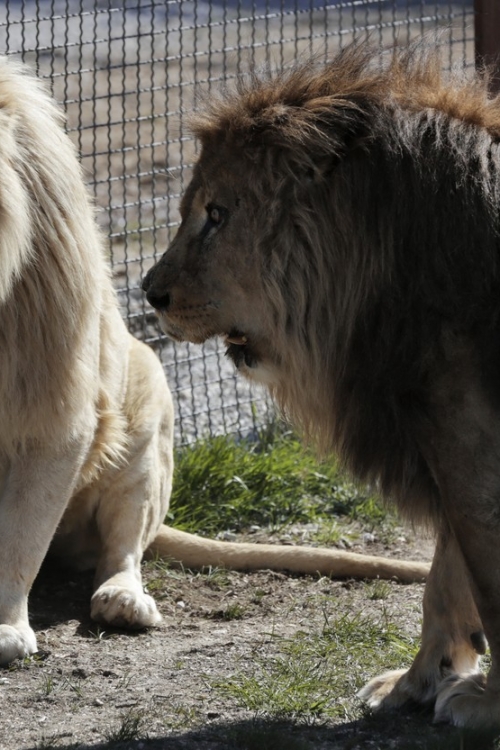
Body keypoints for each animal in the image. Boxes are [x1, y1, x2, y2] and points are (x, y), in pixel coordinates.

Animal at [0, 56, 428, 668]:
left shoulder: (55, 403)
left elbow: (20, 534)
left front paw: (7, 628)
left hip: (147, 408)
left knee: (122, 550)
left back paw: (123, 602)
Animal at [142, 43, 500, 728]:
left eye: (216, 215)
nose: (149, 295)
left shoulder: (466, 436)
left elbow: (488, 583)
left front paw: (486, 704)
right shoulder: (441, 432)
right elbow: (444, 581)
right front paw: (412, 683)